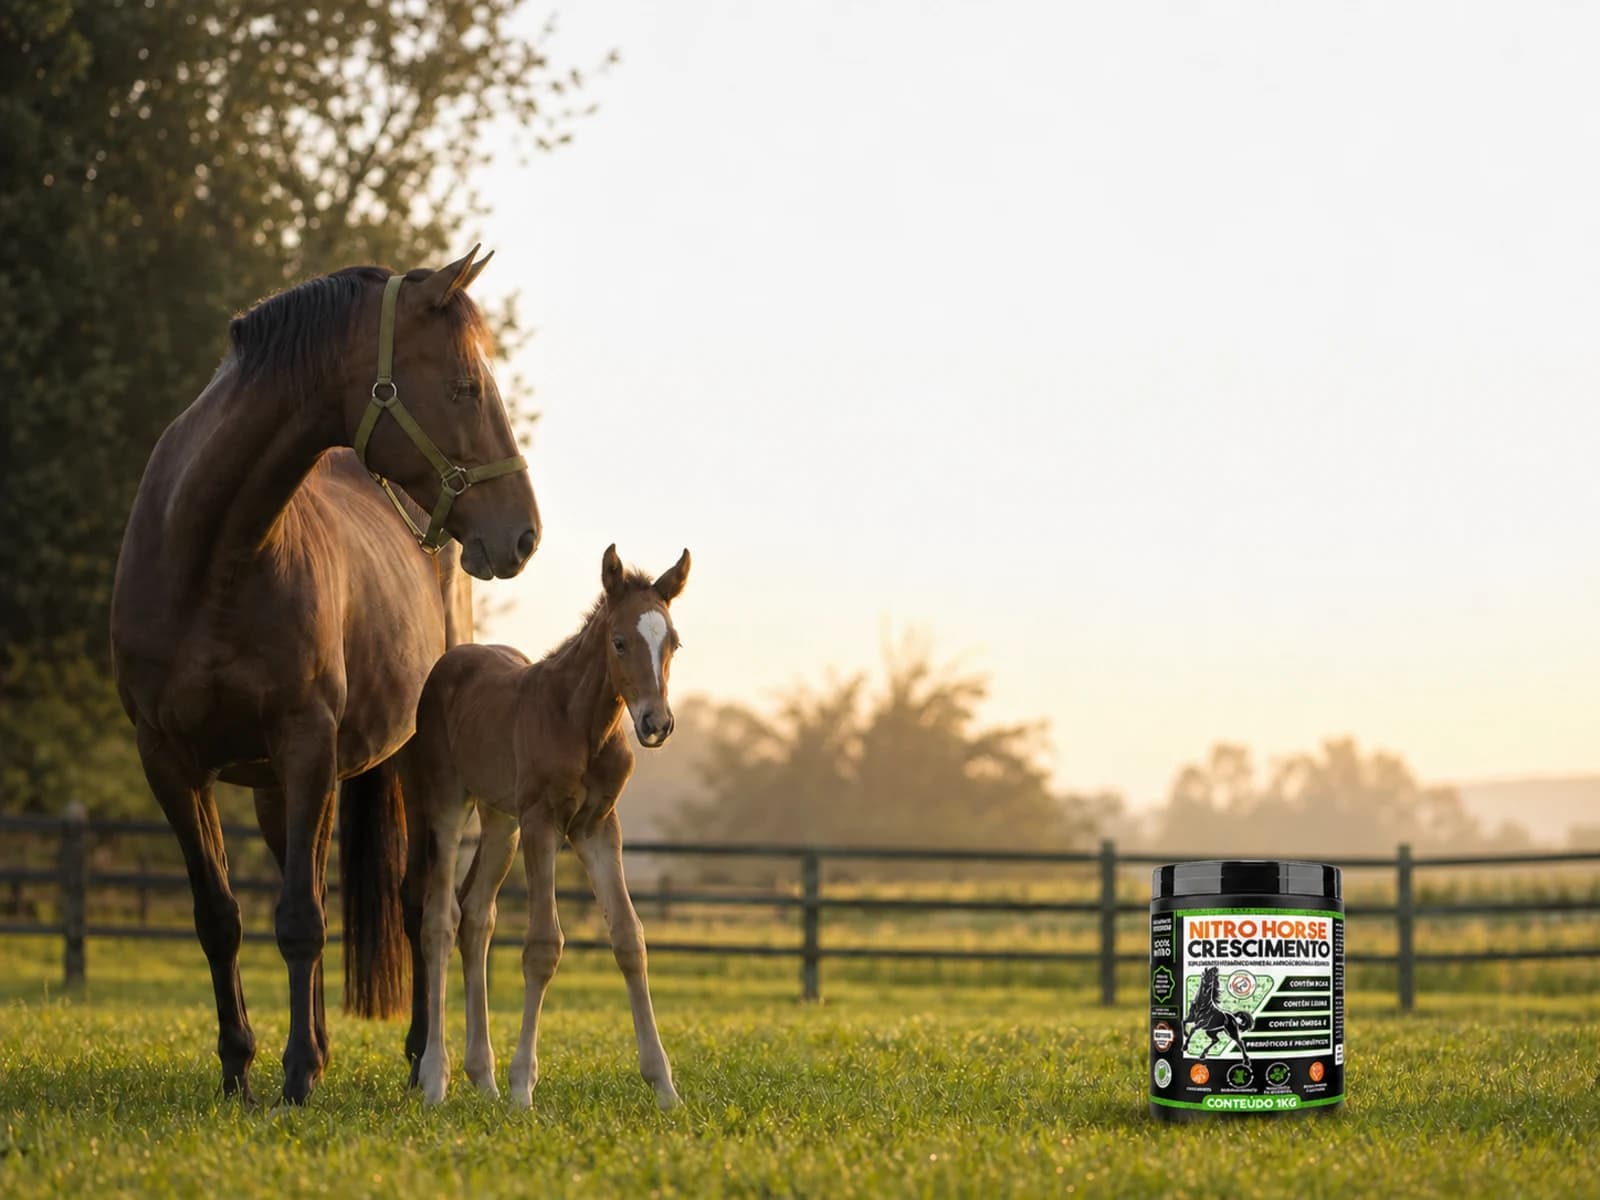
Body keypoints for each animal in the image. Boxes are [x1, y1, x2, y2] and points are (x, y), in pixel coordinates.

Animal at [109, 248, 540, 1105]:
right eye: (463, 387)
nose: (523, 535)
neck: (212, 561)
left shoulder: (307, 745)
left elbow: (304, 919)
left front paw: (298, 1075)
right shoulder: (168, 761)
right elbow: (222, 917)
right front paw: (240, 1068)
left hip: (401, 766)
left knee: (414, 904)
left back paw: (416, 1056)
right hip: (278, 787)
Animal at [405, 543, 690, 1110]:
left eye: (672, 642)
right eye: (619, 641)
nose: (656, 723)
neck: (583, 724)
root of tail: (452, 660)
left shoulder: (598, 826)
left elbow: (630, 938)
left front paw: (665, 1086)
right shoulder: (543, 821)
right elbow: (542, 945)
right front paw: (523, 1087)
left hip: (501, 822)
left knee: (477, 917)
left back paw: (483, 1077)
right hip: (449, 805)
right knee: (440, 921)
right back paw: (436, 1080)